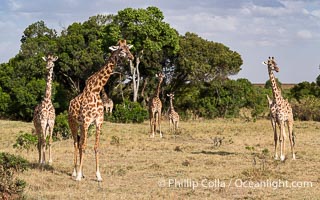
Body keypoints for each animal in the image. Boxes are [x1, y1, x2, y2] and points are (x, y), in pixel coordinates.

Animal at [68, 40, 133, 181]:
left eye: (128, 48)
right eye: (121, 49)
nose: (131, 57)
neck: (96, 90)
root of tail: (70, 104)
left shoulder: (98, 122)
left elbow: (96, 147)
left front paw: (98, 175)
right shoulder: (87, 122)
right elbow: (84, 146)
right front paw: (78, 176)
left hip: (81, 125)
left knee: (79, 143)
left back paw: (82, 172)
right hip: (73, 123)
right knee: (76, 143)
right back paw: (75, 172)